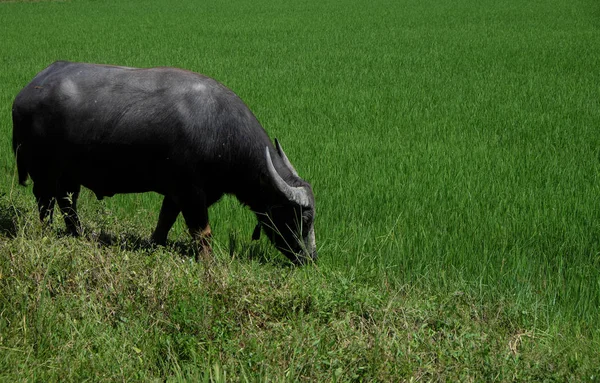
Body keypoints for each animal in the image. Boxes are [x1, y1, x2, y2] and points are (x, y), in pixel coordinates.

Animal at [11, 60, 316, 264]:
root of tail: (24, 94)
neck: (221, 131)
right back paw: (48, 232)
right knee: (46, 203)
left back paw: (77, 233)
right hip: (43, 171)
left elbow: (165, 220)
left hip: (69, 175)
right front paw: (208, 262)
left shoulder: (176, 192)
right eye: (302, 218)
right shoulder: (192, 192)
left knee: (67, 202)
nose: (310, 257)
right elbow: (202, 231)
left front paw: (155, 245)